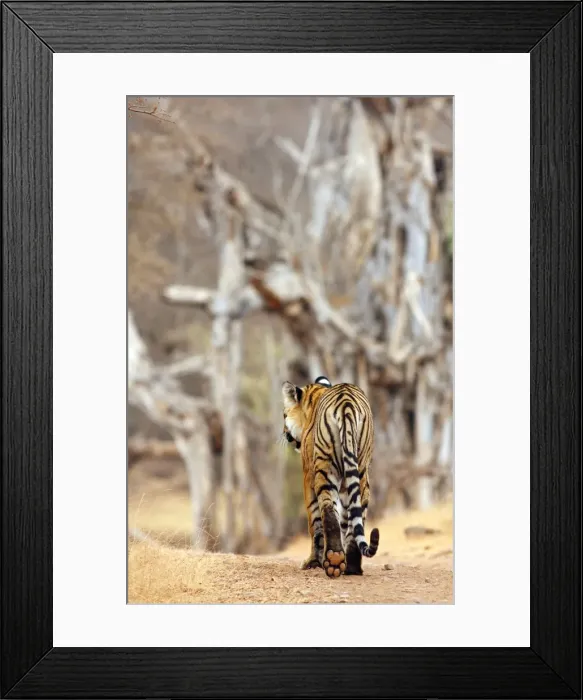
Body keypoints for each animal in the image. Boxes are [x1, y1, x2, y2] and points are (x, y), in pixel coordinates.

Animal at [282, 375, 379, 578]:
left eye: (284, 415)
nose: (285, 433)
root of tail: (347, 403)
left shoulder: (308, 476)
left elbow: (315, 521)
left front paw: (312, 562)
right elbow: (345, 519)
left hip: (325, 470)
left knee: (327, 510)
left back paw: (333, 559)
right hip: (361, 471)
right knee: (356, 515)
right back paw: (351, 567)